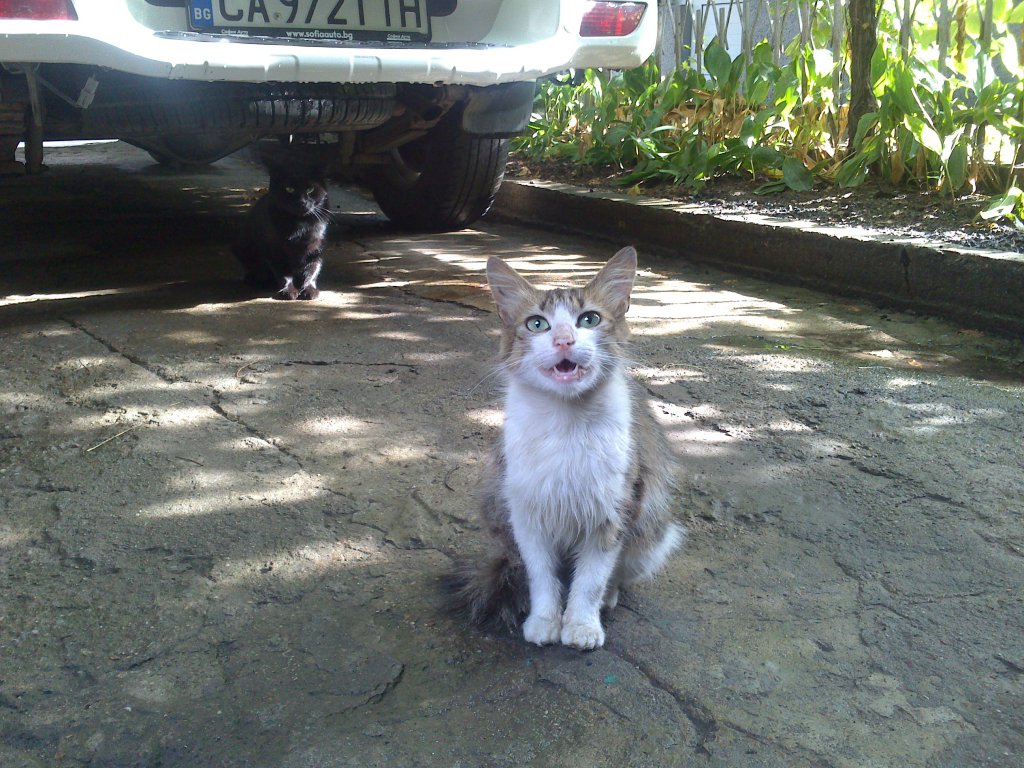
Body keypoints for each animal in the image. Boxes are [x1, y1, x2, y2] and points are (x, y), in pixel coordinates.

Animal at [233, 162, 329, 300]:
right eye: (289, 189)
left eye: (310, 189)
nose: (302, 201)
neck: (299, 225)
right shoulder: (274, 250)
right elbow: (283, 274)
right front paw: (288, 290)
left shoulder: (315, 248)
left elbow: (311, 270)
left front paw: (309, 290)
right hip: (241, 248)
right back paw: (256, 280)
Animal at [447, 246, 685, 650]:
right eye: (536, 324)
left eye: (589, 319)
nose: (563, 340)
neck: (566, 422)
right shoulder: (526, 512)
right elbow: (542, 577)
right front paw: (544, 620)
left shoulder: (613, 512)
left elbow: (590, 581)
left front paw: (582, 625)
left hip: (652, 536)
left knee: (617, 576)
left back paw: (609, 599)